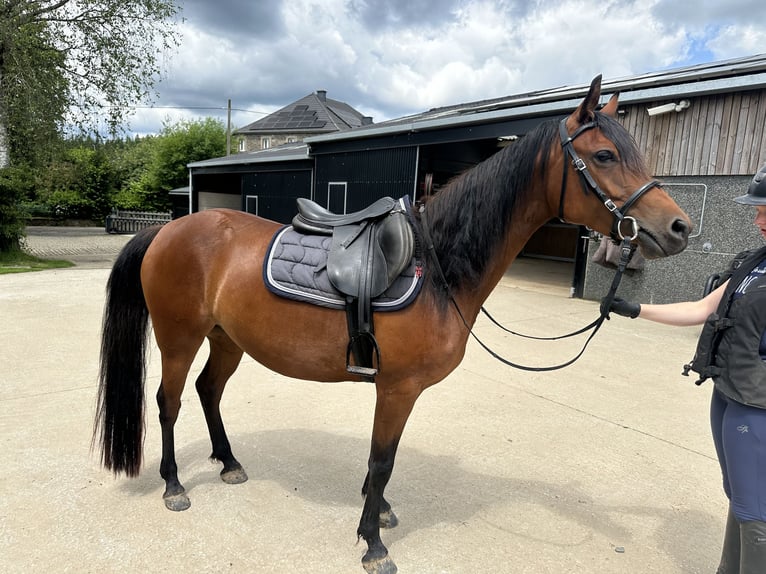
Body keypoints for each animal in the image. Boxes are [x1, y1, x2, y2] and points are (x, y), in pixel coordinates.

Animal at [96, 77, 696, 574]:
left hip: (227, 340)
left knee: (208, 391)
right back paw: (174, 485)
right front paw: (372, 543)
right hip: (179, 337)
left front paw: (378, 512)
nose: (679, 227)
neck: (439, 266)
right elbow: (382, 459)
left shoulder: (403, 391)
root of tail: (169, 230)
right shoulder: (398, 387)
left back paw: (229, 463)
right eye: (605, 155)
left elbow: (387, 459)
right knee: (169, 401)